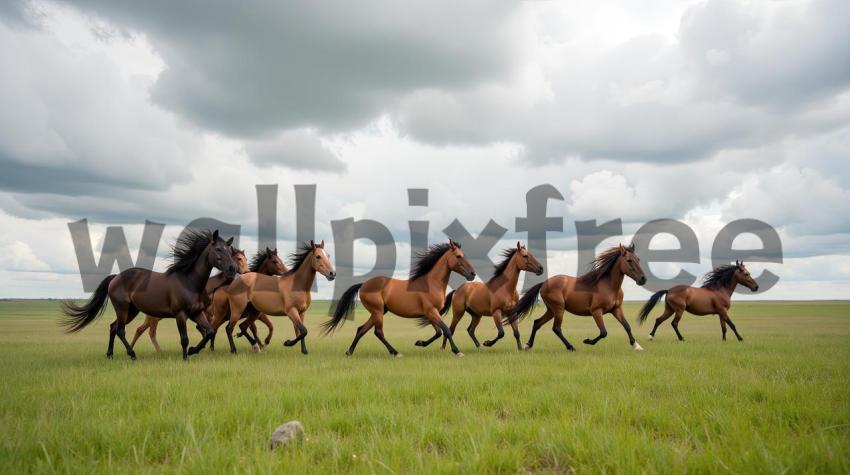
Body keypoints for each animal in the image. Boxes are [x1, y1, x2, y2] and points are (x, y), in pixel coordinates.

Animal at [61, 231, 237, 360]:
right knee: (120, 330)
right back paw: (132, 355)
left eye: (230, 250)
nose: (232, 269)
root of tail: (116, 277)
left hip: (132, 311)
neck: (189, 282)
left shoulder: (196, 313)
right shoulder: (180, 315)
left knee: (113, 327)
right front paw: (186, 357)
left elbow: (209, 332)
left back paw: (110, 355)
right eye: (218, 249)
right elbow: (184, 338)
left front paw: (193, 350)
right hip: (123, 309)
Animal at [320, 242, 474, 356]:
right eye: (459, 256)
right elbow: (446, 330)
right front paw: (457, 351)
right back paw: (395, 352)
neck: (431, 284)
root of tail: (363, 284)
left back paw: (349, 352)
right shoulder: (431, 311)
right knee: (378, 332)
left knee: (361, 329)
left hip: (379, 312)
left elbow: (438, 332)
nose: (472, 274)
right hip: (377, 311)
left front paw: (419, 343)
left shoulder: (431, 313)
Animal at [632, 260, 760, 342]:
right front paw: (740, 338)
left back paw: (651, 337)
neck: (720, 290)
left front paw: (723, 340)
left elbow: (723, 327)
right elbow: (732, 325)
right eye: (746, 274)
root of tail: (669, 290)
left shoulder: (720, 313)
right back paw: (681, 338)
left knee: (659, 320)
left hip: (670, 310)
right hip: (679, 310)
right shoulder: (723, 311)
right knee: (674, 323)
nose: (756, 287)